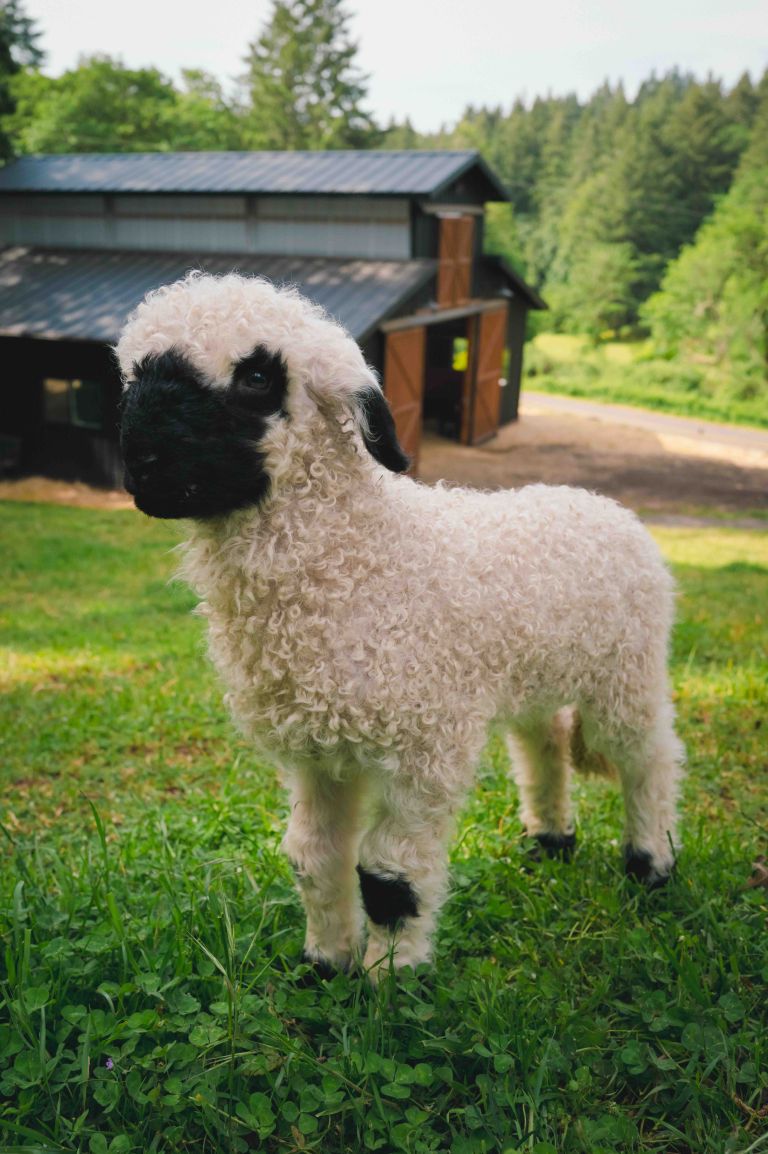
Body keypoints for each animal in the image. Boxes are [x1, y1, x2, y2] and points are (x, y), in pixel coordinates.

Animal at [117, 271, 685, 980]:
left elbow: (390, 874)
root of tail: (606, 506)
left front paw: (392, 980)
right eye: (134, 373)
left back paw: (651, 864)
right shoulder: (318, 751)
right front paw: (325, 964)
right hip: (535, 673)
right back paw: (551, 840)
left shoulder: (425, 744)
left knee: (649, 755)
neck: (361, 564)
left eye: (256, 376)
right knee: (544, 742)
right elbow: (314, 856)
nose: (141, 459)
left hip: (626, 670)